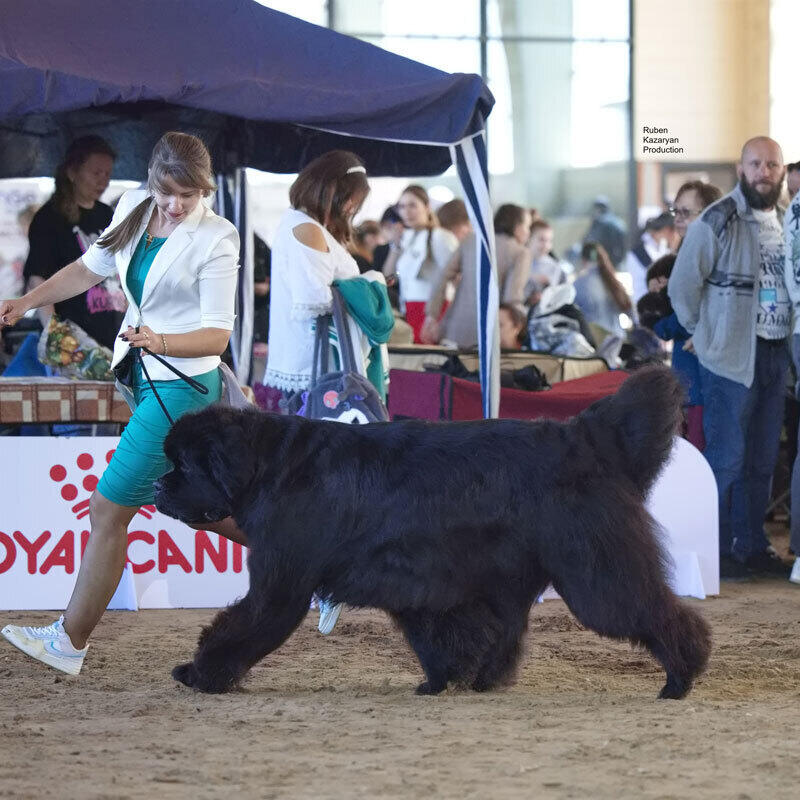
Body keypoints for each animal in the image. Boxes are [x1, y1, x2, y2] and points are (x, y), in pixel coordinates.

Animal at [156, 368, 712, 700]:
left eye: (184, 464)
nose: (158, 486)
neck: (270, 465)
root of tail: (584, 436)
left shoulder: (281, 583)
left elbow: (238, 628)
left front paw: (201, 674)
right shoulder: (417, 581)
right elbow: (440, 636)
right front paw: (443, 680)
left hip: (595, 572)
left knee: (653, 612)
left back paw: (680, 678)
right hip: (517, 572)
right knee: (510, 630)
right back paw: (487, 681)